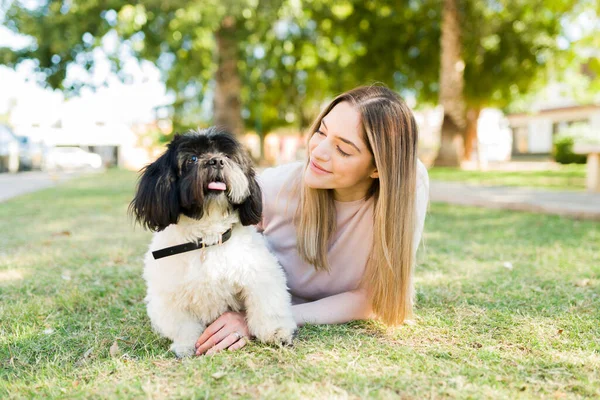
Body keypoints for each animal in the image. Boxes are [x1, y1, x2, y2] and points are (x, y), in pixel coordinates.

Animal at [132, 127, 298, 356]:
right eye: (192, 159)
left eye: (227, 156)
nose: (217, 161)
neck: (207, 240)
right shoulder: (168, 297)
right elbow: (181, 325)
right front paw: (186, 346)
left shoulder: (261, 275)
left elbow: (267, 306)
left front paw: (277, 333)